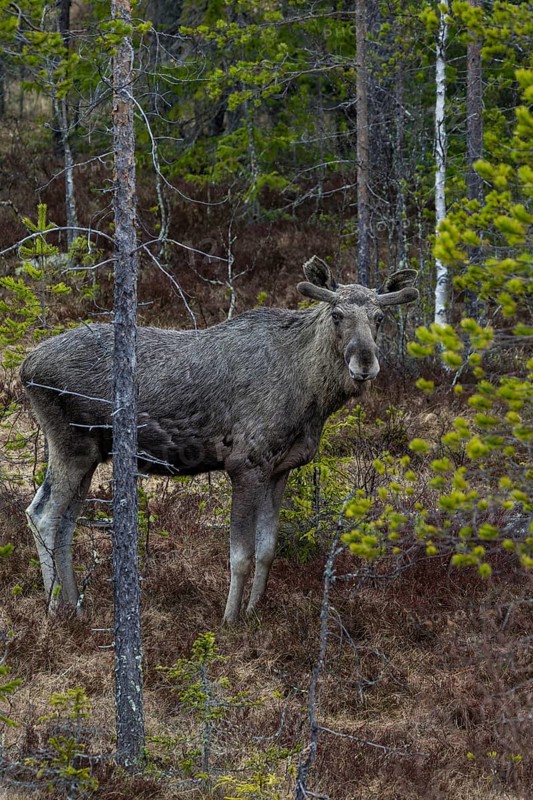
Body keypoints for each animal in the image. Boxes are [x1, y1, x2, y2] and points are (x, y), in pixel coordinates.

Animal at [20, 256, 418, 624]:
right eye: (337, 315)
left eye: (380, 317)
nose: (364, 365)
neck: (310, 398)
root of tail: (25, 367)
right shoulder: (245, 464)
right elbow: (240, 556)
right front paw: (229, 620)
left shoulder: (280, 468)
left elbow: (267, 549)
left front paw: (255, 611)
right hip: (71, 445)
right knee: (42, 515)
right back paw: (53, 608)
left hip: (91, 454)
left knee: (66, 524)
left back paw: (76, 606)